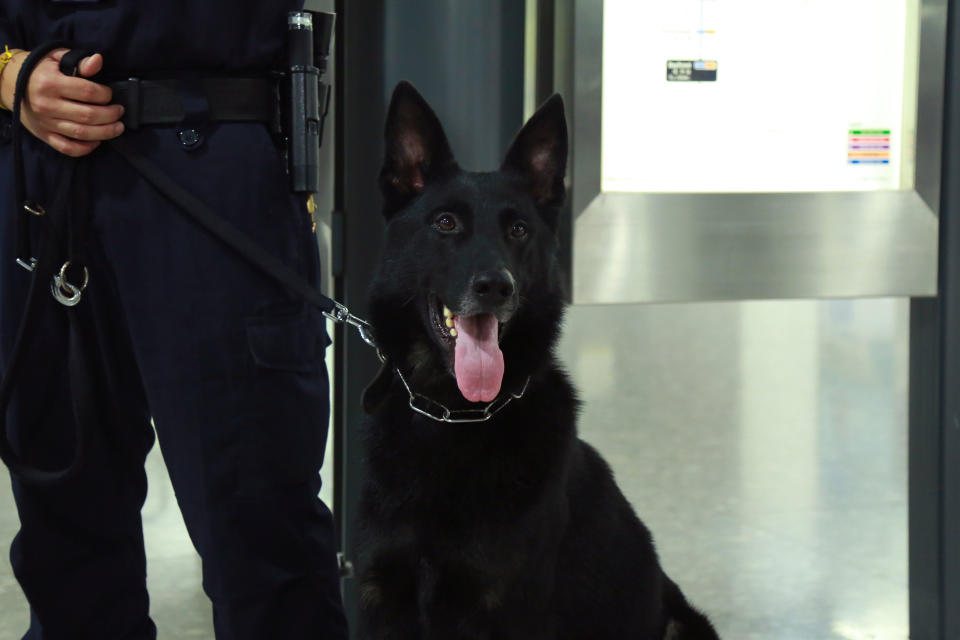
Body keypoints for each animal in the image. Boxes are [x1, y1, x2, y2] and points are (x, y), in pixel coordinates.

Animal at [354, 81, 720, 640]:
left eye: (519, 230)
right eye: (445, 223)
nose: (495, 287)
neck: (452, 416)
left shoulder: (506, 611)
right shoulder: (380, 603)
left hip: (682, 623)